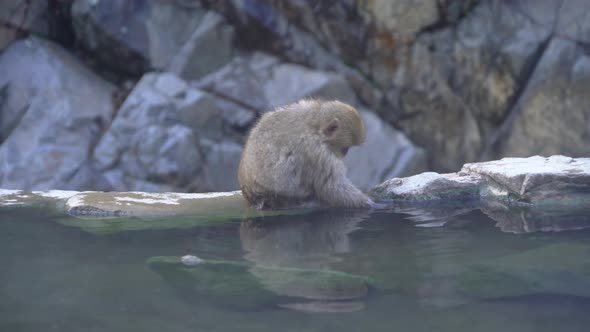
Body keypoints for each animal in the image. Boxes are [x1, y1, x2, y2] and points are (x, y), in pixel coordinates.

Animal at [237, 98, 372, 209]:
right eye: (345, 148)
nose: (344, 154)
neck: (315, 126)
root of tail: (249, 193)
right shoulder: (316, 152)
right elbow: (332, 187)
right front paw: (368, 203)